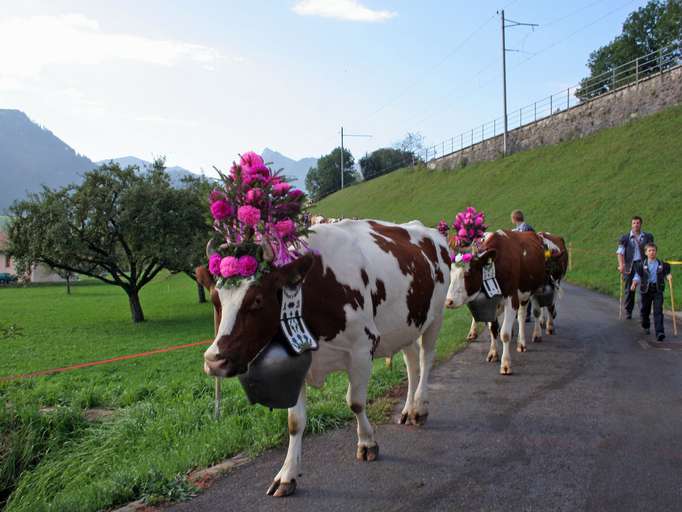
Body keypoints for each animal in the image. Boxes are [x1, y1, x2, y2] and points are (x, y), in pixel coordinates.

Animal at [199, 152, 448, 496]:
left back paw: (420, 409)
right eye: (215, 299)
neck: (313, 289)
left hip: (434, 318)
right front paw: (287, 475)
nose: (214, 361)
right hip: (406, 323)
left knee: (425, 360)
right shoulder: (300, 358)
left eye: (258, 300)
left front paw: (367, 443)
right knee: (412, 362)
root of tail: (426, 230)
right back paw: (408, 409)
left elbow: (355, 402)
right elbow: (295, 422)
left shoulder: (362, 348)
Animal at [440, 230, 548, 374]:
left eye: (467, 274)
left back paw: (527, 340)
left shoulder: (512, 298)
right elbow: (493, 328)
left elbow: (505, 334)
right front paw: (493, 353)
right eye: (450, 274)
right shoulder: (490, 302)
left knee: (526, 314)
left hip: (533, 289)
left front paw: (506, 364)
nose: (448, 301)